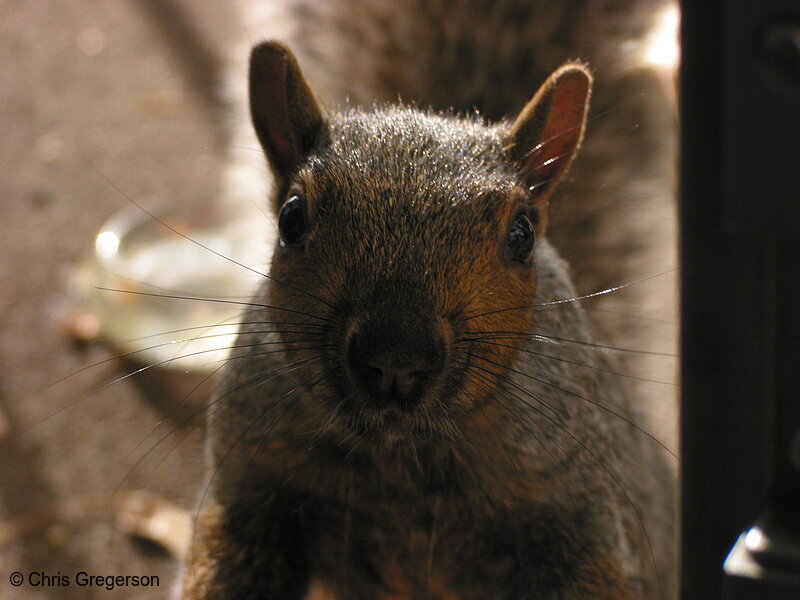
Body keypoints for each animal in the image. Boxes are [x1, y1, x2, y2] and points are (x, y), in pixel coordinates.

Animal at [177, 2, 676, 596]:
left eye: (523, 235)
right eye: (291, 218)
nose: (397, 360)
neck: (400, 454)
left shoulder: (582, 504)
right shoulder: (252, 475)